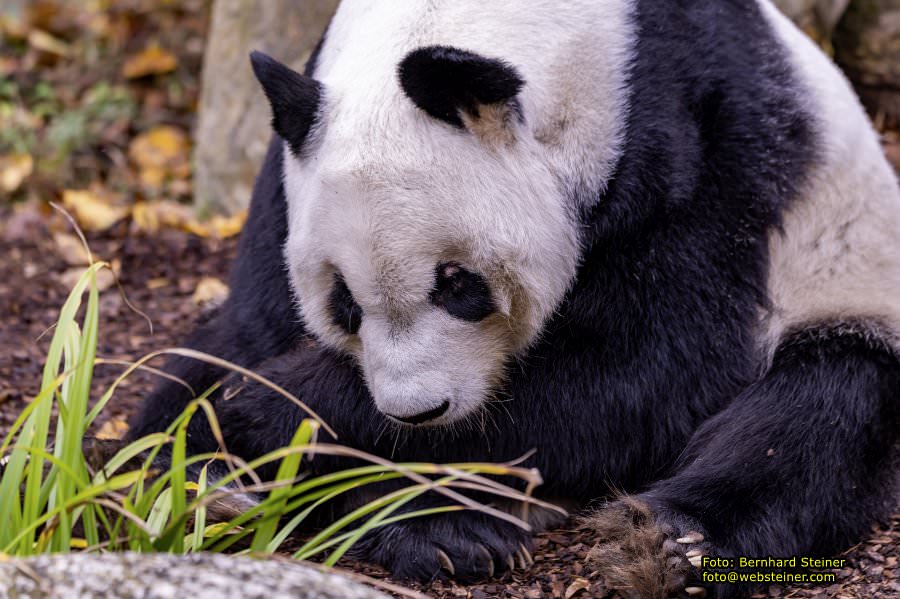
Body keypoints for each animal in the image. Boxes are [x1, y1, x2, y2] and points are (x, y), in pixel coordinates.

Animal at [130, 0, 900, 596]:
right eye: (344, 301)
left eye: (457, 284)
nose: (417, 412)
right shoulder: (289, 174)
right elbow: (253, 326)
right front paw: (237, 427)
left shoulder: (700, 138)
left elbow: (645, 373)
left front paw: (279, 404)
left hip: (848, 280)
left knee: (815, 412)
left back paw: (659, 540)